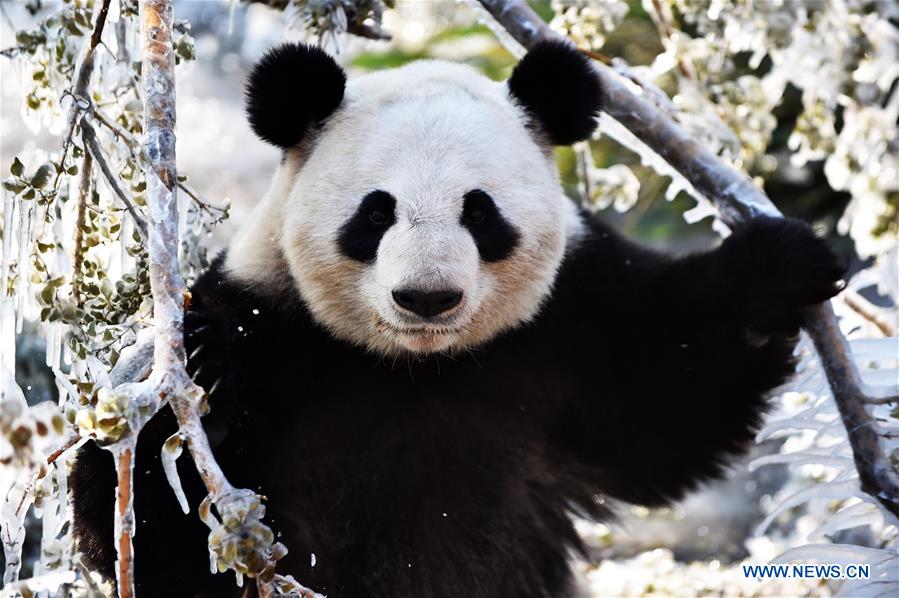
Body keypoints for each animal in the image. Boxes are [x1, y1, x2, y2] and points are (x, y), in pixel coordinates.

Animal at [70, 42, 844, 598]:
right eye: (376, 213)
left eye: (479, 211)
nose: (426, 298)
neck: (419, 367)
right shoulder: (275, 320)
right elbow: (147, 530)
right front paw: (198, 373)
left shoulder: (571, 322)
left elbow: (671, 394)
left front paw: (778, 269)